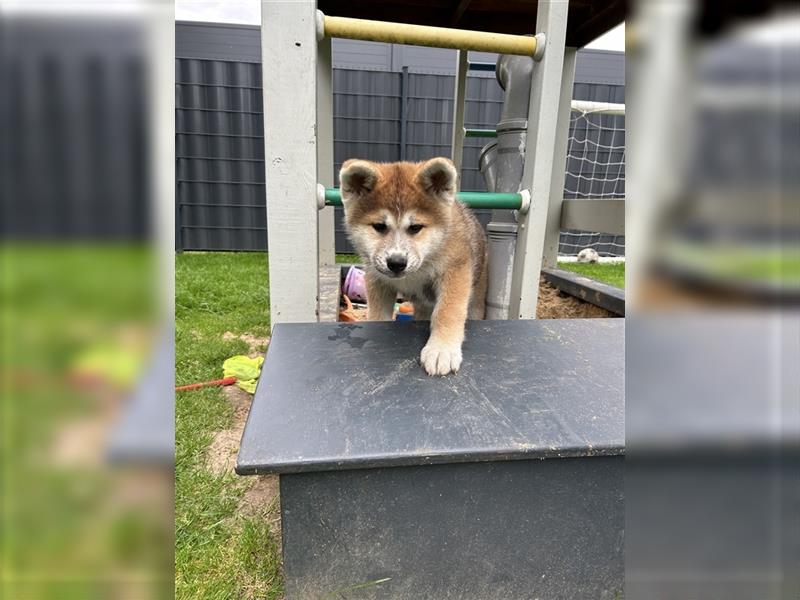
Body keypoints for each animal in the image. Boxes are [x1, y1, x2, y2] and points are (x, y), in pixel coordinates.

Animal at [338, 157, 488, 378]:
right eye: (379, 226)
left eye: (415, 227)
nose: (397, 262)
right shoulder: (377, 281)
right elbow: (378, 315)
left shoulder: (455, 270)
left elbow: (448, 311)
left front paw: (442, 349)